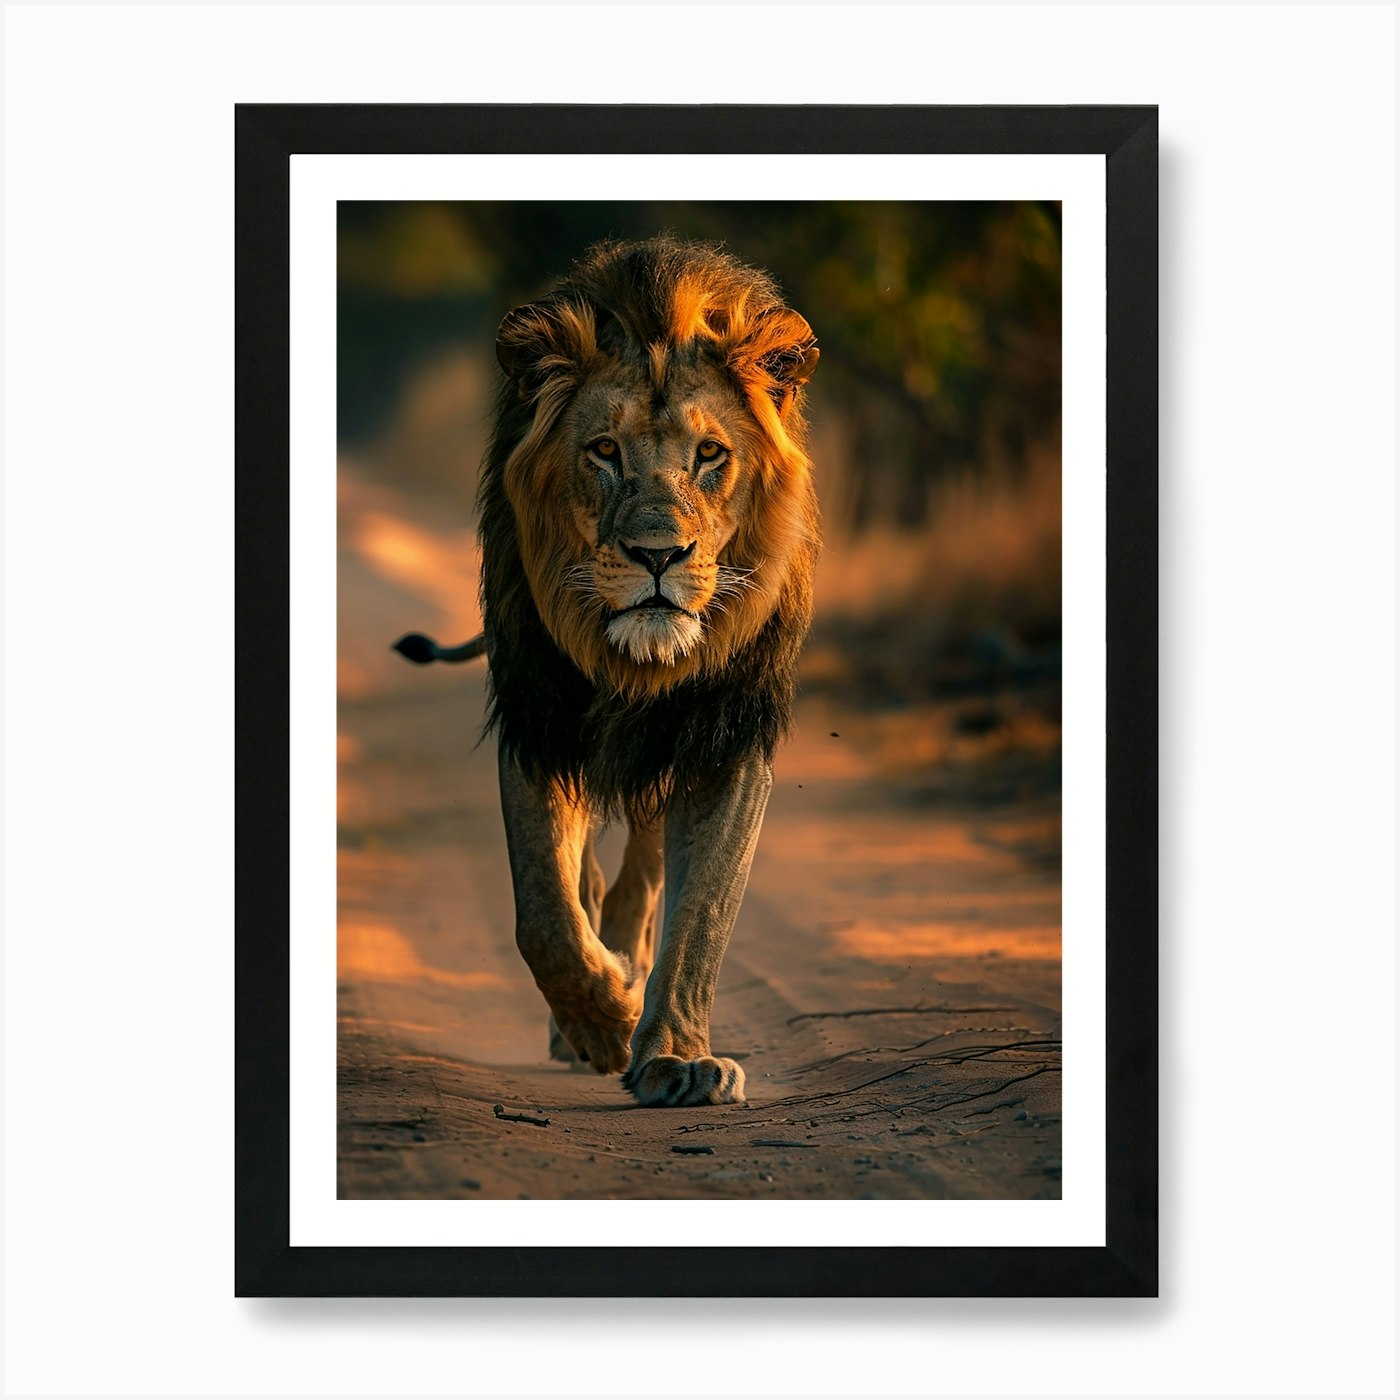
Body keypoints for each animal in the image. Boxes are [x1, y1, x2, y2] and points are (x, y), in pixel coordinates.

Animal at [395, 236, 819, 1107]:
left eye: (710, 455)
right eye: (604, 452)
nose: (659, 556)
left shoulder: (724, 734)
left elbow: (702, 914)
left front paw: (675, 1057)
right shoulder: (539, 717)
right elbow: (544, 912)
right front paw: (603, 1021)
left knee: (646, 876)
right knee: (584, 880)